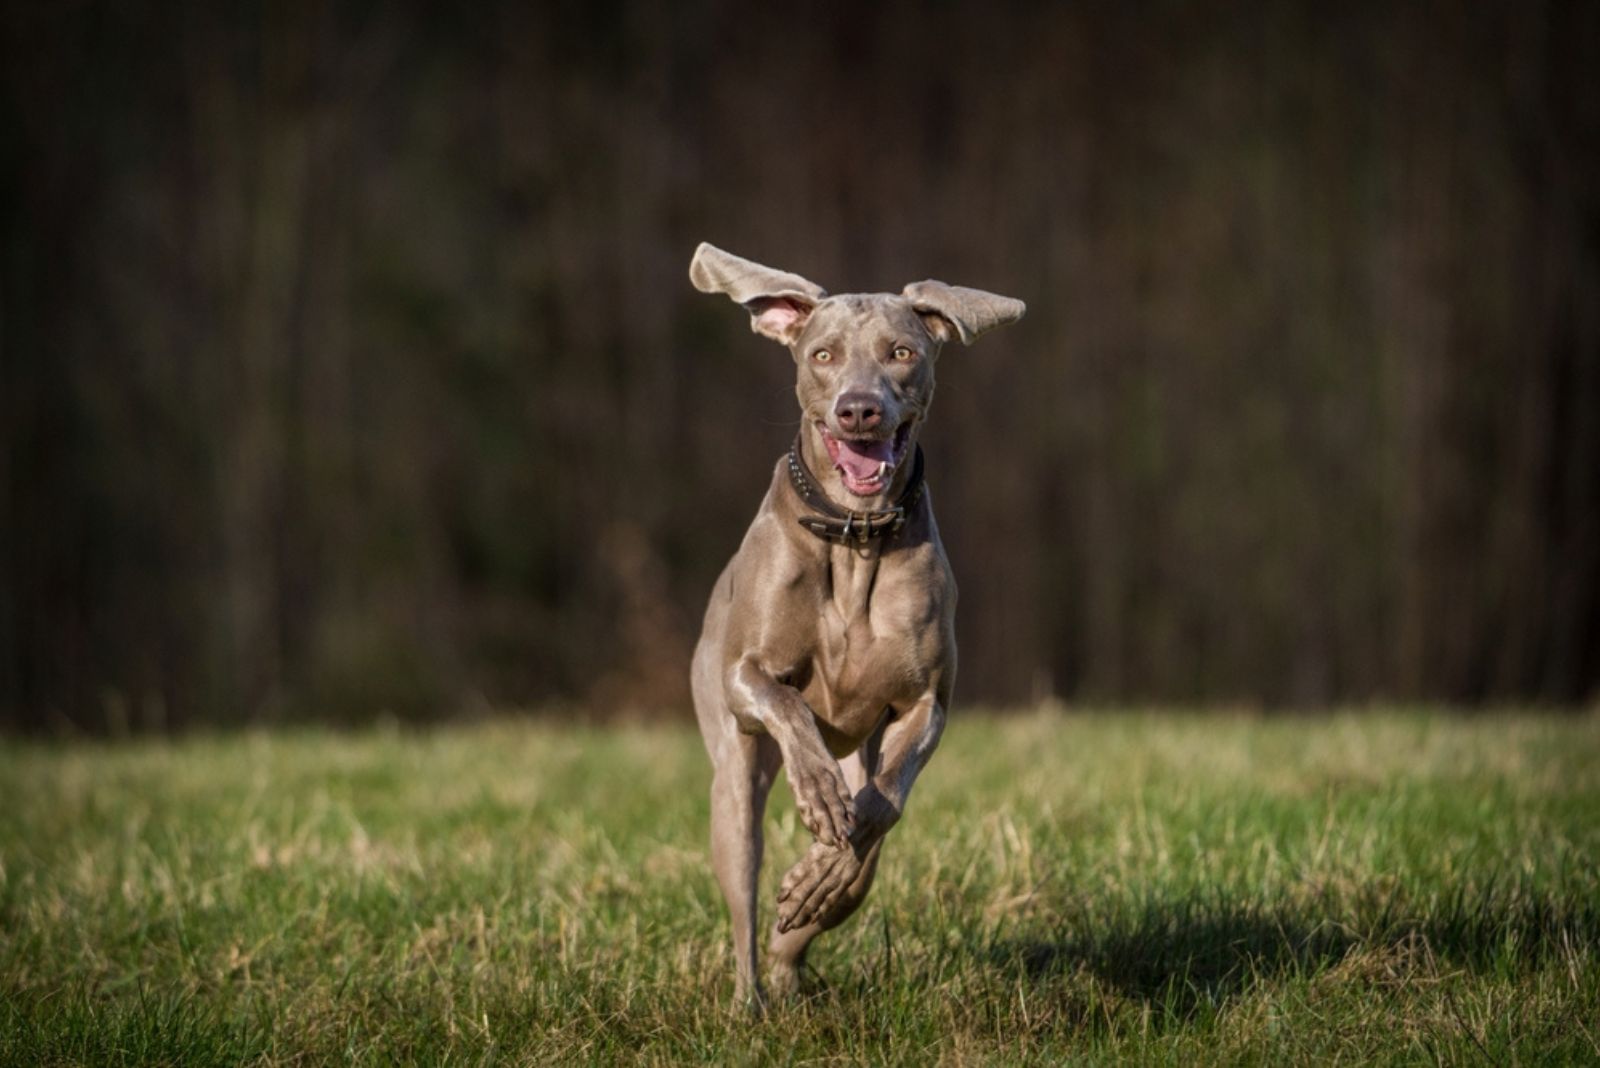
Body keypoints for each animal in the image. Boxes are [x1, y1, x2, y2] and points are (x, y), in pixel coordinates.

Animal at [688, 244, 1024, 1010]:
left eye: (902, 352)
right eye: (823, 354)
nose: (859, 408)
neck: (855, 537)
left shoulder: (926, 703)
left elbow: (881, 805)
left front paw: (820, 874)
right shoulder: (744, 675)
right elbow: (778, 697)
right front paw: (815, 792)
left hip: (858, 752)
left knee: (854, 867)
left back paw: (800, 936)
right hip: (732, 781)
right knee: (744, 892)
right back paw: (748, 1001)